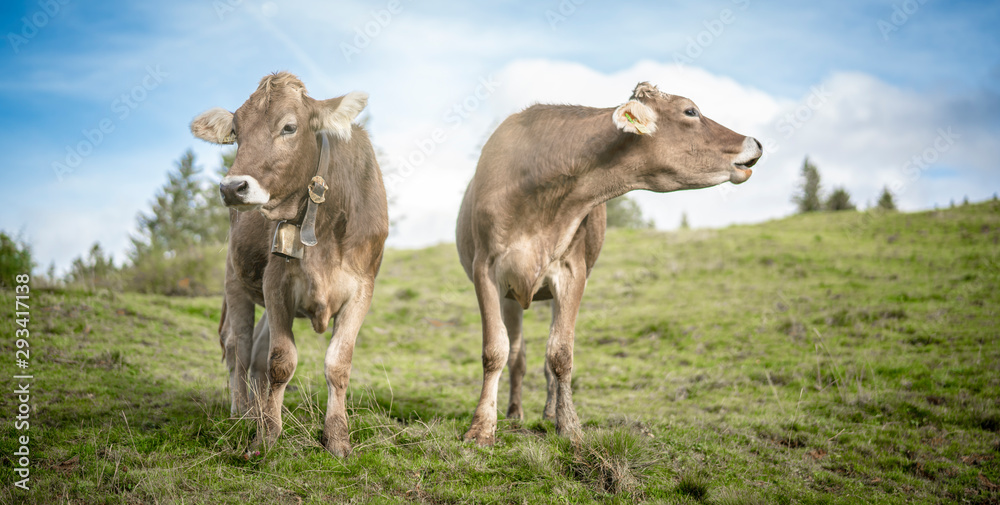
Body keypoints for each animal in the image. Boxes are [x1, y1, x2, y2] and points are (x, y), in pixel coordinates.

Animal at [191, 72, 389, 457]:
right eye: (236, 130)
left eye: (289, 127)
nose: (232, 187)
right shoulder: (276, 282)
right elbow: (281, 361)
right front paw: (266, 436)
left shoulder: (362, 289)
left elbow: (338, 364)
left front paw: (337, 438)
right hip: (234, 279)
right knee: (238, 347)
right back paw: (242, 413)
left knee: (254, 351)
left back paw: (255, 411)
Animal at [456, 82, 762, 445]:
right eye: (690, 111)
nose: (755, 142)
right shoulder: (486, 269)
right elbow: (495, 351)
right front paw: (481, 428)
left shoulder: (572, 271)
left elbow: (560, 353)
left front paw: (569, 425)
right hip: (512, 295)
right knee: (517, 354)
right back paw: (514, 412)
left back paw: (548, 412)